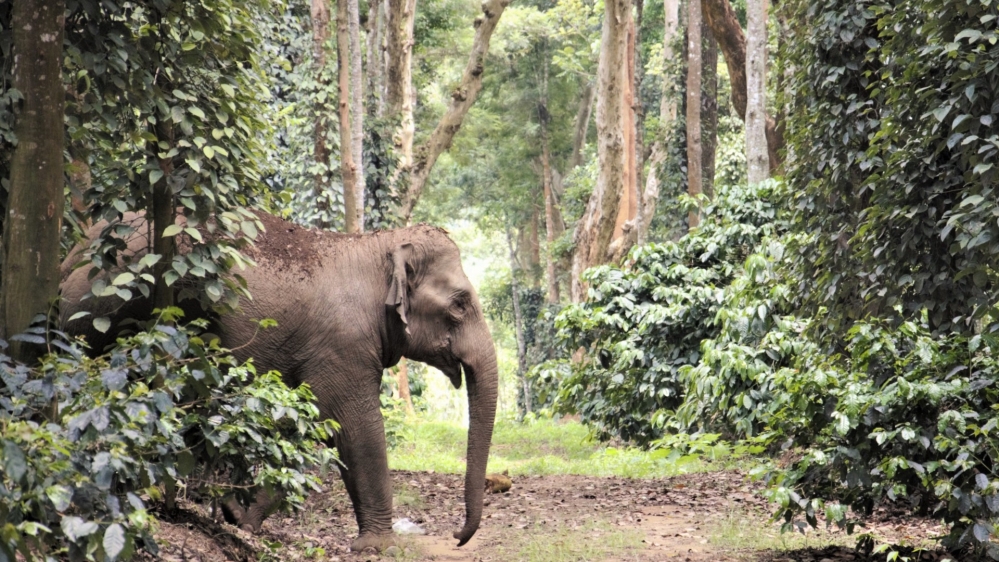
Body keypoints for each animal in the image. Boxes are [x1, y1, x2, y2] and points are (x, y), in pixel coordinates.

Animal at [59, 211, 498, 551]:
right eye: (460, 305)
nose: (458, 536)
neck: (381, 245)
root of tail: (75, 250)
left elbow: (314, 427)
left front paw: (238, 516)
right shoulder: (342, 346)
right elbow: (352, 425)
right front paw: (381, 547)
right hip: (104, 307)